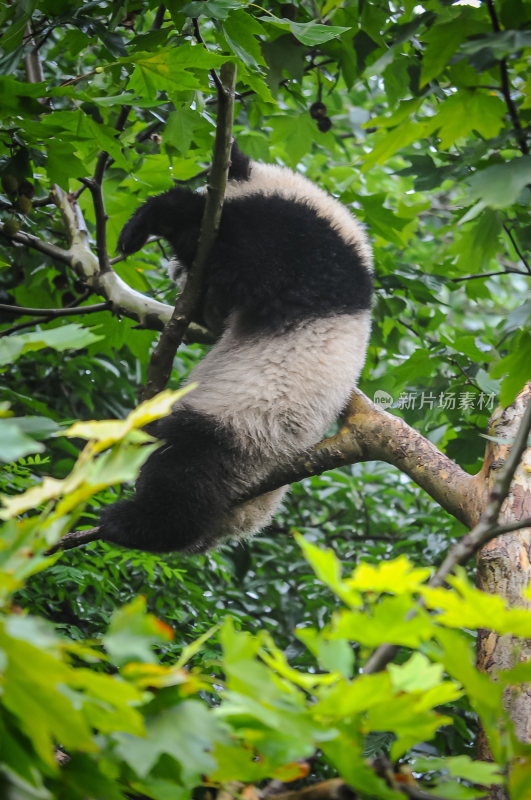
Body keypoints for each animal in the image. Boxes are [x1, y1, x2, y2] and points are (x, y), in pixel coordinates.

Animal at [100, 144, 374, 552]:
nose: (175, 274)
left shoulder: (310, 250)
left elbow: (250, 261)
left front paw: (158, 220)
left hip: (248, 426)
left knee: (187, 467)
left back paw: (134, 523)